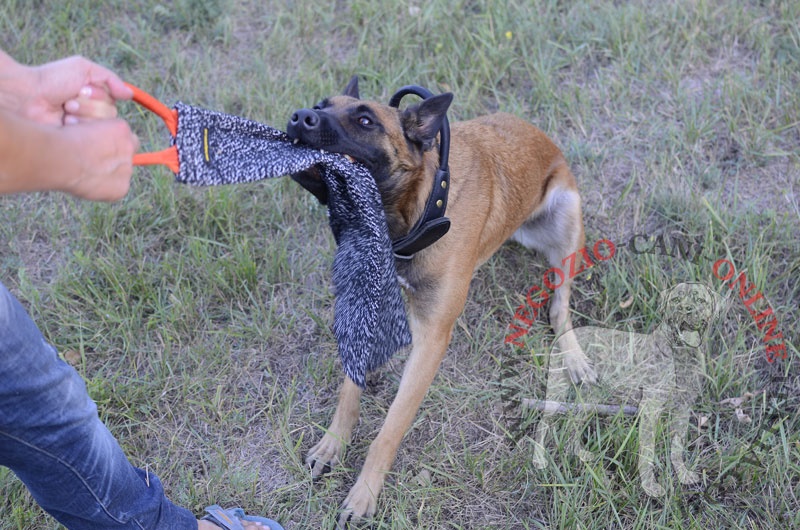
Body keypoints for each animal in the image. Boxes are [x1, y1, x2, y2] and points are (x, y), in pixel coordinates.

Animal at [284, 76, 592, 520]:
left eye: (365, 120)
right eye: (320, 105)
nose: (297, 117)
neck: (416, 209)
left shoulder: (431, 338)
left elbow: (390, 428)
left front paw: (364, 493)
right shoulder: (363, 303)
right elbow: (348, 394)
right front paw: (333, 444)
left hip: (567, 221)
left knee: (559, 305)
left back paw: (574, 356)